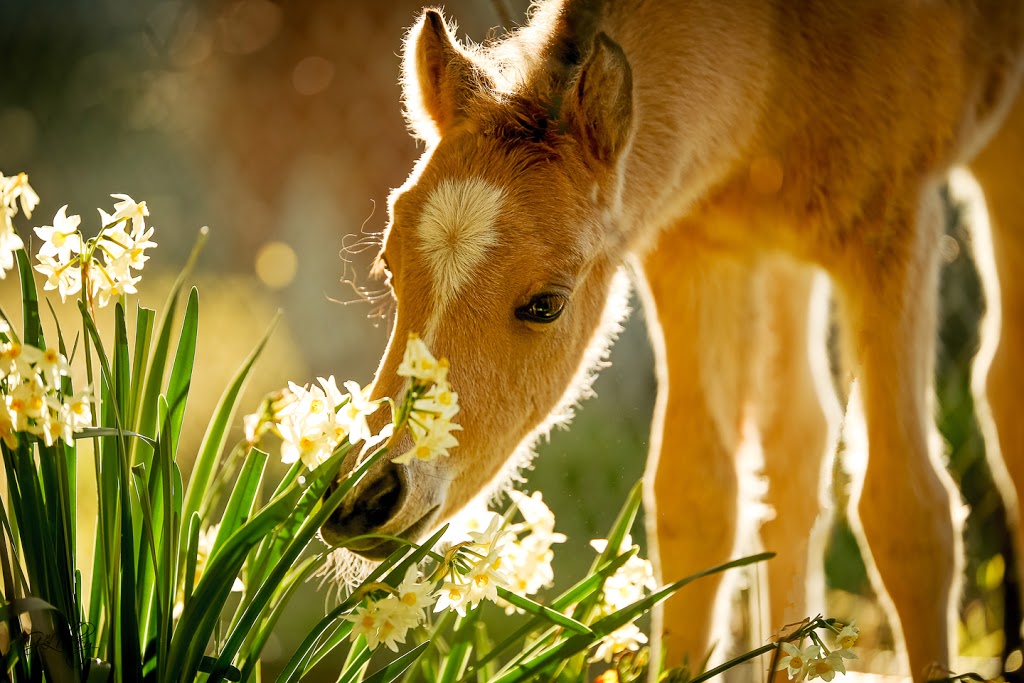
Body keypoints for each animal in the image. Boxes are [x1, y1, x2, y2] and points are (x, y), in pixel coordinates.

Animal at [323, 2, 1024, 679]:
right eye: (388, 267)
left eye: (546, 305)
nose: (362, 500)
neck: (775, 47)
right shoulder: (694, 244)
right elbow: (697, 496)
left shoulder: (895, 221)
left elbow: (907, 510)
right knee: (798, 443)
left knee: (998, 391)